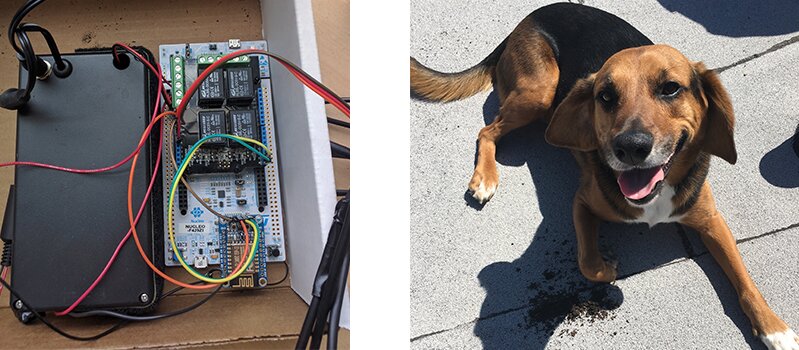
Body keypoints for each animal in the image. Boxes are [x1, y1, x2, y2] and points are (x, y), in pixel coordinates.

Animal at [412, 2, 799, 348]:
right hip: (539, 92)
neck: (656, 195)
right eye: (606, 96)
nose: (630, 147)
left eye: (671, 88)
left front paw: (774, 328)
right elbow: (587, 263)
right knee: (486, 130)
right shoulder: (582, 202)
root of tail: (529, 17)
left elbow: (746, 282)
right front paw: (608, 266)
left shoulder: (711, 221)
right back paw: (485, 178)